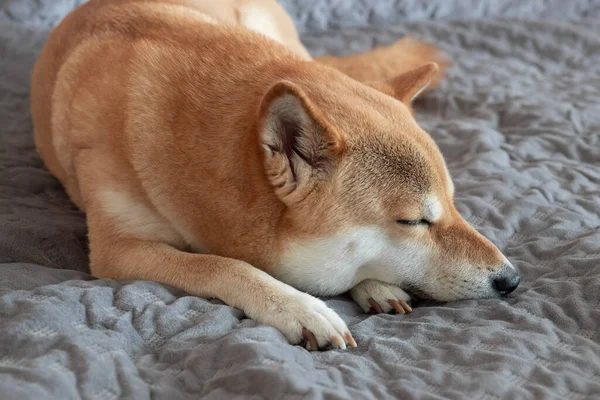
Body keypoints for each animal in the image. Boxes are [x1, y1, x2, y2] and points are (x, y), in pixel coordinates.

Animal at [31, 0, 520, 350]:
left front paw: (374, 283)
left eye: (455, 203)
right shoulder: (118, 252)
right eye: (413, 221)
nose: (511, 280)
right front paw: (298, 306)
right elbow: (221, 265)